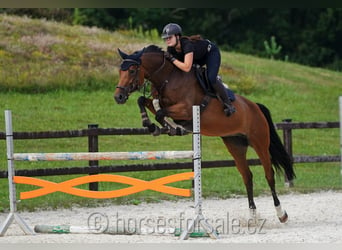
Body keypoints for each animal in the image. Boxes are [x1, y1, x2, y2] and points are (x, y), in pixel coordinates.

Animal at [113, 44, 296, 222]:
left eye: (132, 70)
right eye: (120, 71)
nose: (118, 97)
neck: (168, 78)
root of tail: (255, 106)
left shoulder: (186, 110)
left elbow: (160, 112)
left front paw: (169, 127)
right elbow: (144, 101)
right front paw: (152, 125)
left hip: (259, 142)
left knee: (269, 174)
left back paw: (281, 214)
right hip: (235, 144)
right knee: (247, 176)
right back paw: (253, 216)